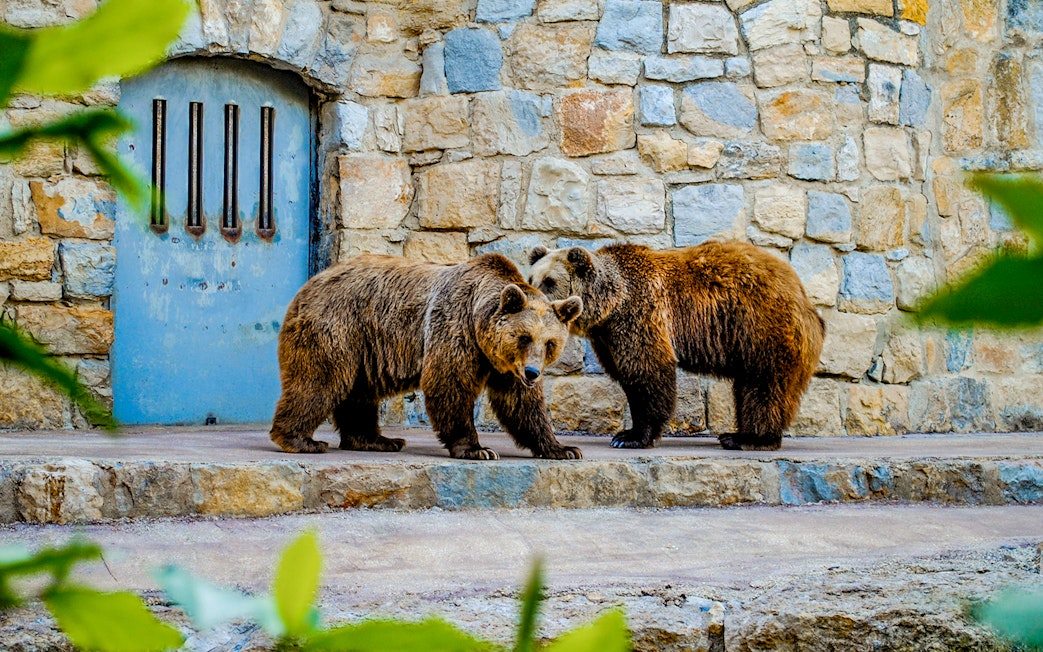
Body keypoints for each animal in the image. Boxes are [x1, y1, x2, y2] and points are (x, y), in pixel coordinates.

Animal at [269, 252, 584, 460]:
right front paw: (478, 449)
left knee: (359, 394)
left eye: (550, 343)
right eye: (524, 337)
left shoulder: (504, 366)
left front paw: (563, 448)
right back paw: (301, 440)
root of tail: (311, 283)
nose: (533, 373)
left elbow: (521, 404)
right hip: (338, 327)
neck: (479, 326)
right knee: (319, 381)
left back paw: (377, 439)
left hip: (365, 348)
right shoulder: (455, 329)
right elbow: (450, 385)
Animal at [527, 241, 825, 451]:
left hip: (761, 328)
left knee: (764, 385)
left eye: (550, 281)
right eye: (531, 278)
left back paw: (747, 438)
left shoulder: (639, 314)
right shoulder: (608, 337)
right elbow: (628, 375)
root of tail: (801, 292)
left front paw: (631, 436)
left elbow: (647, 371)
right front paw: (629, 432)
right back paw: (738, 435)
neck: (609, 305)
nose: (532, 299)